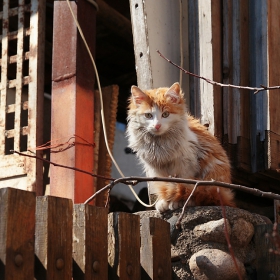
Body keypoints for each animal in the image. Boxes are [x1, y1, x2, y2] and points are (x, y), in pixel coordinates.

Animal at [126, 82, 235, 213]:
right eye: (148, 115)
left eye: (165, 114)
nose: (157, 126)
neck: (160, 144)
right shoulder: (157, 170)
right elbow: (165, 186)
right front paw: (164, 201)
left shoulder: (186, 166)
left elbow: (184, 186)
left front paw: (177, 201)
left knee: (204, 195)